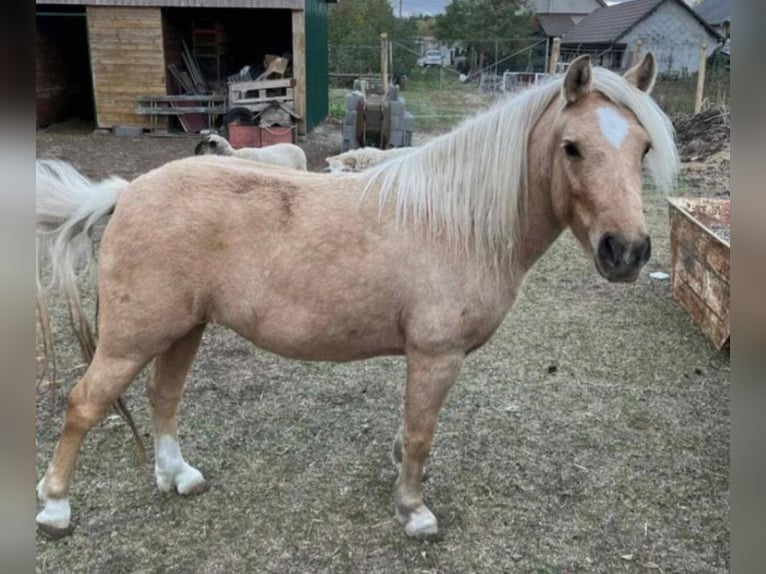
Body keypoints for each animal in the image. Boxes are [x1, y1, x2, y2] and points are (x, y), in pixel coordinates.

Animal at [35, 54, 678, 539]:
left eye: (643, 148)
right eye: (572, 147)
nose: (626, 251)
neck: (457, 222)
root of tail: (127, 193)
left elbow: (410, 428)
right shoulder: (436, 355)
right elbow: (421, 433)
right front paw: (413, 510)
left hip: (182, 330)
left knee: (162, 396)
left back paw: (179, 476)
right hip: (132, 337)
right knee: (84, 404)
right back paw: (55, 506)